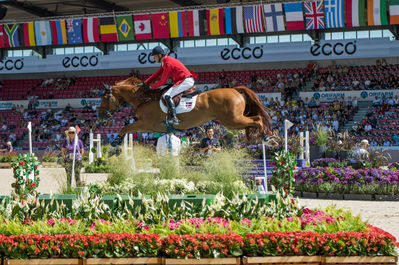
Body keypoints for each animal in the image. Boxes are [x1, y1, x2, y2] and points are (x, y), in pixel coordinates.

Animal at [97, 76, 272, 145]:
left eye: (104, 98)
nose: (100, 118)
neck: (143, 98)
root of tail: (235, 90)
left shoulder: (146, 124)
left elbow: (126, 127)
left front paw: (116, 142)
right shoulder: (152, 127)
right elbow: (128, 127)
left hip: (232, 121)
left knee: (257, 120)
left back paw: (264, 137)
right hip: (234, 121)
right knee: (254, 121)